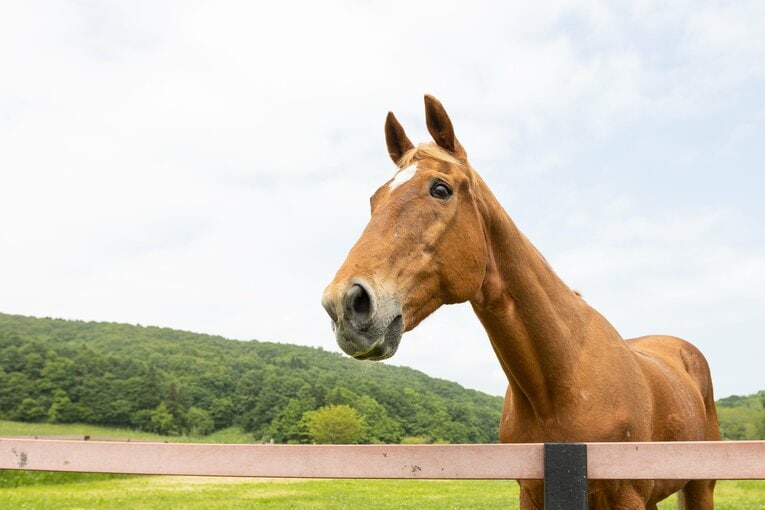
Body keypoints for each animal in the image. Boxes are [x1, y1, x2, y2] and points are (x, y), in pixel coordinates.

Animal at [321, 95, 719, 509]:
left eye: (441, 189)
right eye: (374, 199)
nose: (344, 303)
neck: (562, 381)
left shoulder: (627, 496)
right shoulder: (531, 492)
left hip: (699, 486)